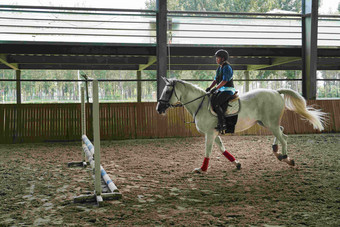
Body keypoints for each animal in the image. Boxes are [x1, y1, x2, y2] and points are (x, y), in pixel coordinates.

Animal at [157, 78, 326, 174]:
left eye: (167, 92)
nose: (159, 109)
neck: (200, 104)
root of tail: (276, 92)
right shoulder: (214, 133)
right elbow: (222, 150)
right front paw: (237, 163)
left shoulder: (209, 134)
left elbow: (208, 151)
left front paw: (202, 169)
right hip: (267, 122)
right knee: (283, 133)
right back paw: (278, 152)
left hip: (270, 123)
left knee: (283, 138)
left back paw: (284, 157)